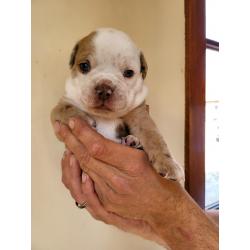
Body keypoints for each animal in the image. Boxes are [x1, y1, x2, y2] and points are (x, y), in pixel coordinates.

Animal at [50, 27, 184, 184]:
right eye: (84, 66)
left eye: (129, 73)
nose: (104, 89)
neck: (104, 115)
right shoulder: (63, 108)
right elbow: (61, 110)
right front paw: (84, 119)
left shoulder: (139, 115)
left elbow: (154, 137)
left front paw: (169, 164)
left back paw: (131, 141)